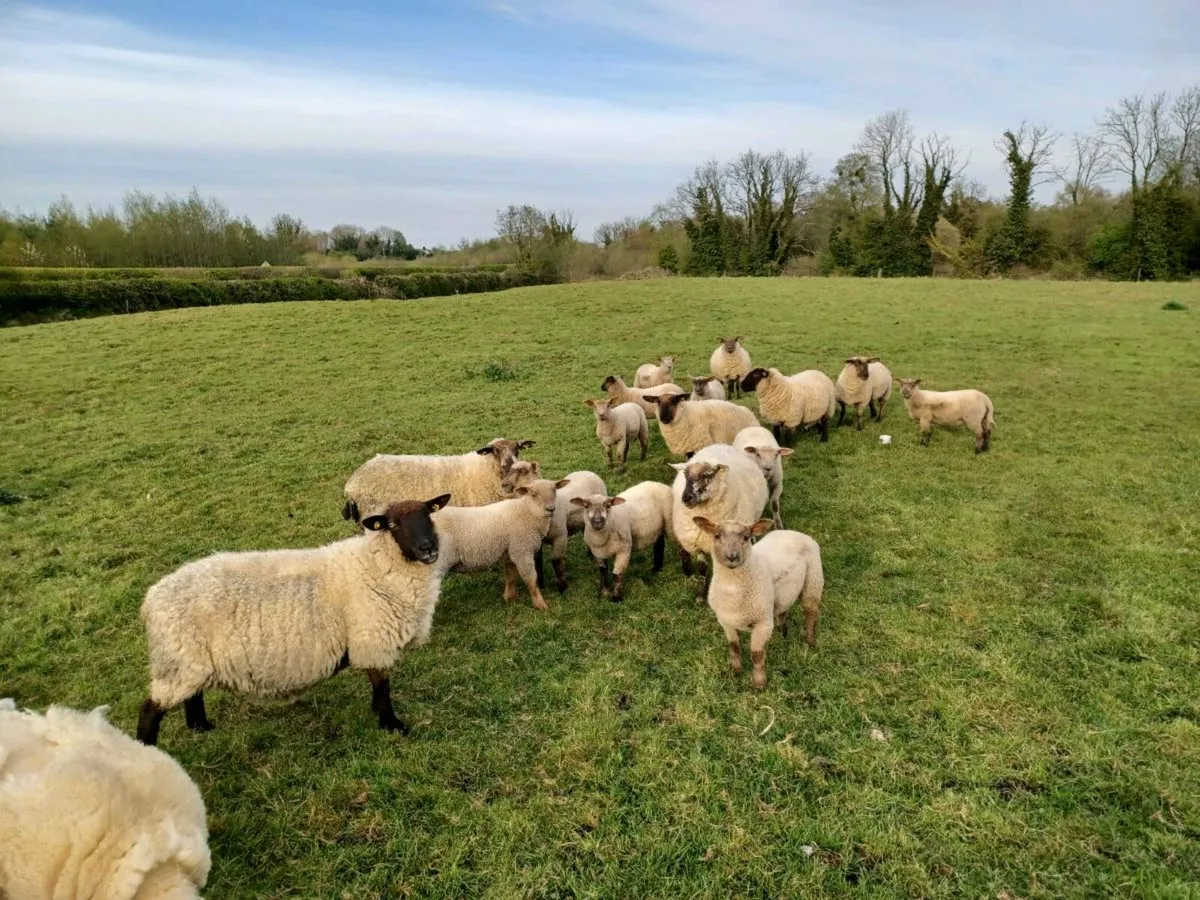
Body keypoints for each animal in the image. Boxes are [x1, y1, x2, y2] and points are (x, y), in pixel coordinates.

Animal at [136, 496, 450, 747]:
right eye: (393, 524)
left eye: (428, 514)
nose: (427, 548)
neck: (375, 564)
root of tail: (152, 598)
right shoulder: (372, 639)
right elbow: (383, 687)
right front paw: (391, 725)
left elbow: (377, 684)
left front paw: (376, 712)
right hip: (176, 661)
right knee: (150, 710)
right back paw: (148, 748)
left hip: (189, 660)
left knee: (193, 694)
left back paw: (200, 726)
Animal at [432, 478, 571, 611]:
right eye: (533, 494)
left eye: (554, 490)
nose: (550, 509)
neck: (527, 511)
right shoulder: (522, 551)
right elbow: (531, 579)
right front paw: (540, 604)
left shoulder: (511, 551)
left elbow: (510, 576)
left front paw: (509, 598)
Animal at [502, 461, 607, 593]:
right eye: (533, 493)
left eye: (524, 472)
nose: (503, 484)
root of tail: (589, 472)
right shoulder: (537, 541)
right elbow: (538, 562)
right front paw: (540, 584)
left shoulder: (560, 536)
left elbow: (556, 560)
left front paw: (562, 587)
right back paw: (589, 553)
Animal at [670, 442, 769, 602]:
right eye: (685, 474)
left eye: (707, 474)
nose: (686, 497)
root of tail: (720, 445)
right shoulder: (697, 543)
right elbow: (702, 568)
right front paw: (700, 595)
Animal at [693, 517, 824, 689]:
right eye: (717, 536)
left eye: (746, 537)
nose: (732, 557)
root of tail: (793, 532)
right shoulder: (725, 621)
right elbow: (734, 647)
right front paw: (736, 672)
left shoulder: (763, 623)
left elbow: (757, 655)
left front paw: (760, 684)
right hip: (784, 592)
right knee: (783, 611)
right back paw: (783, 635)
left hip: (814, 579)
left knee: (811, 613)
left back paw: (810, 642)